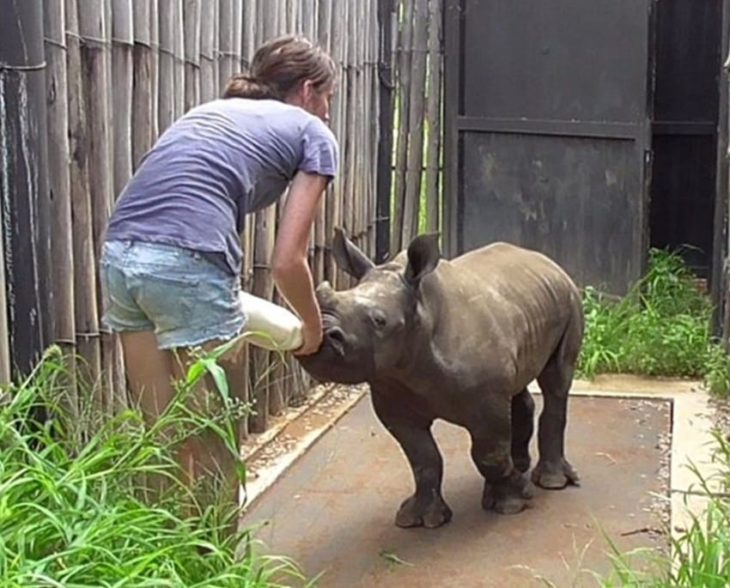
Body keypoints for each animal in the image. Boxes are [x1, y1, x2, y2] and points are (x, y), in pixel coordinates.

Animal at [296, 229, 580, 528]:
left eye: (379, 321)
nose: (321, 334)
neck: (420, 316)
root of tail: (547, 261)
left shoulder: (486, 400)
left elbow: (488, 454)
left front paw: (512, 503)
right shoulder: (392, 396)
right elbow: (423, 458)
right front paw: (420, 519)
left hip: (570, 298)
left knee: (556, 382)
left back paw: (550, 482)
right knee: (518, 385)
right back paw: (521, 467)